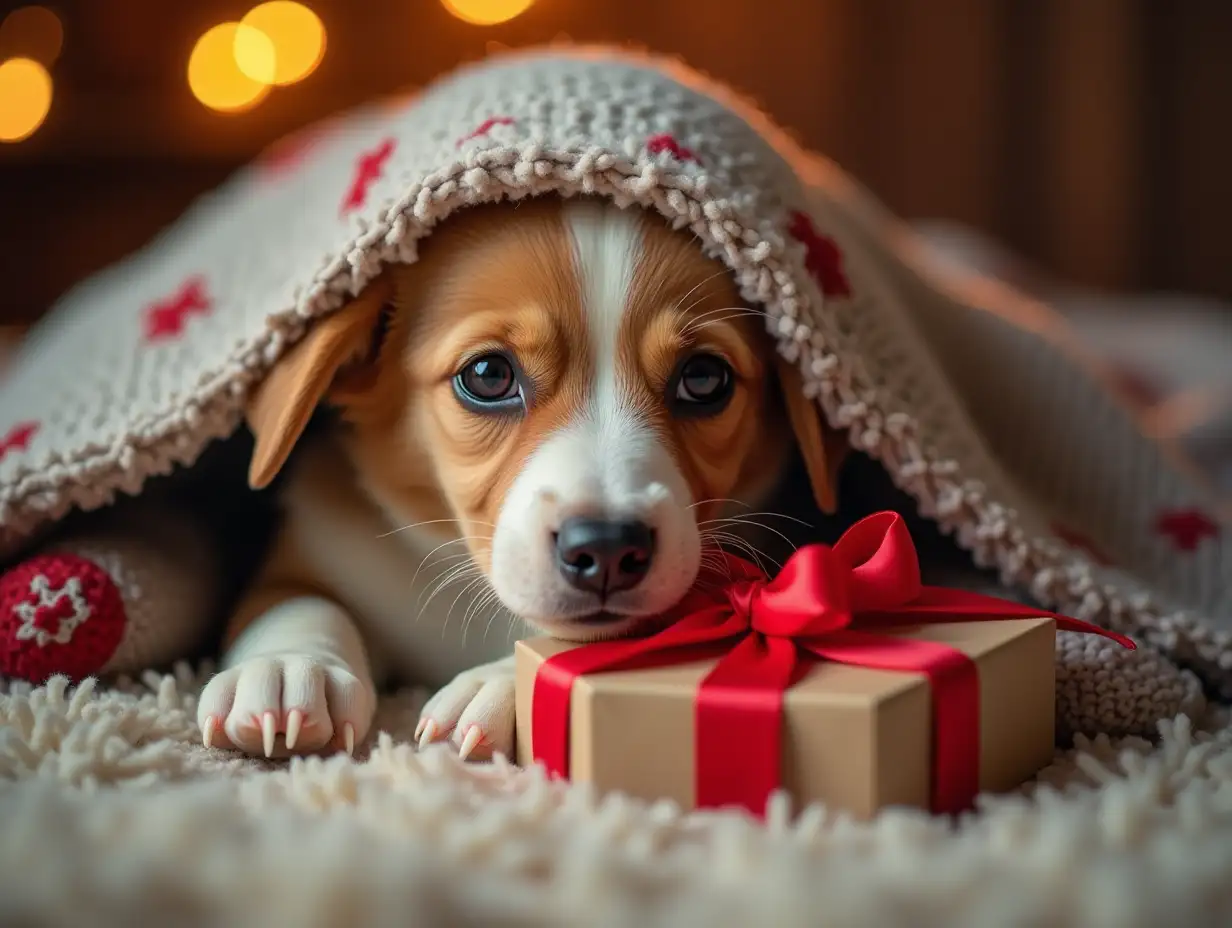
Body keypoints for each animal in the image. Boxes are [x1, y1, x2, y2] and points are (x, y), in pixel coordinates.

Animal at [194, 195, 847, 759]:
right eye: (488, 375)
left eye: (705, 379)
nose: (606, 549)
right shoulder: (311, 551)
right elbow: (298, 601)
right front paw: (287, 670)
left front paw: (497, 685)